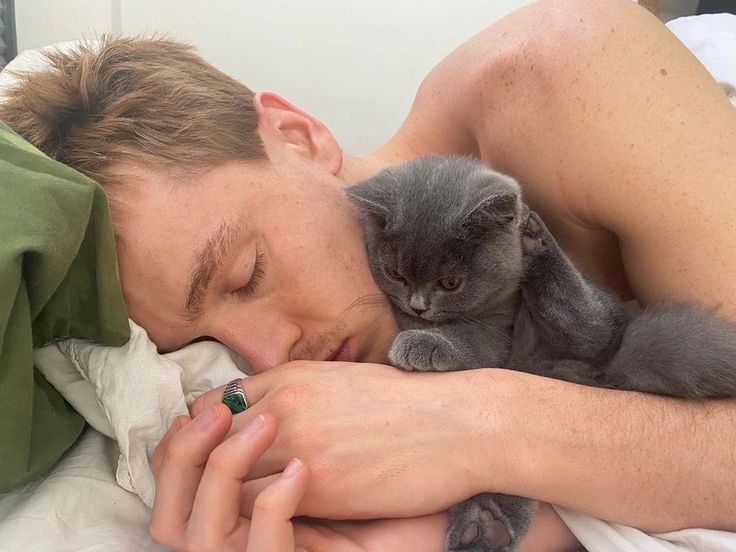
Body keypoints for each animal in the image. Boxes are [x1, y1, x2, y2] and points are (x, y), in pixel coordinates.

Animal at [348, 155, 736, 552]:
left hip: (591, 333)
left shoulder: (497, 331)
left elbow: (470, 338)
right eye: (396, 274)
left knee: (587, 323)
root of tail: (604, 372)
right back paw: (484, 528)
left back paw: (535, 239)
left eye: (450, 283)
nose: (419, 306)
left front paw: (421, 344)